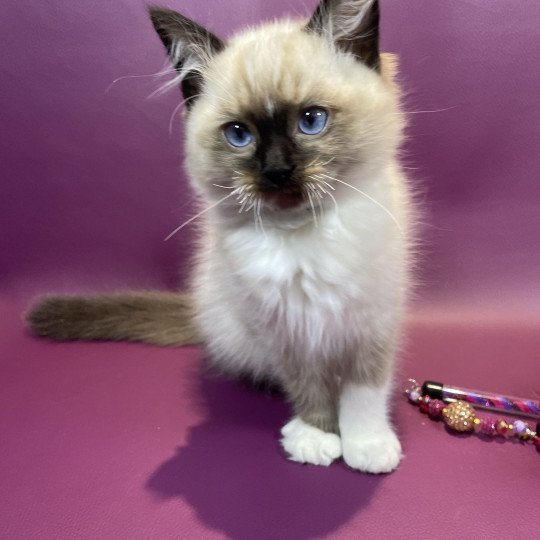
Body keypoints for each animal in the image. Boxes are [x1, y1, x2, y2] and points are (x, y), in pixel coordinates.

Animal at [27, 0, 414, 472]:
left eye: (311, 121)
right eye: (238, 135)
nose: (276, 171)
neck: (303, 233)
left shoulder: (373, 321)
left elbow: (364, 390)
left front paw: (366, 444)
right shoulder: (284, 329)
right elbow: (309, 385)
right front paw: (317, 436)